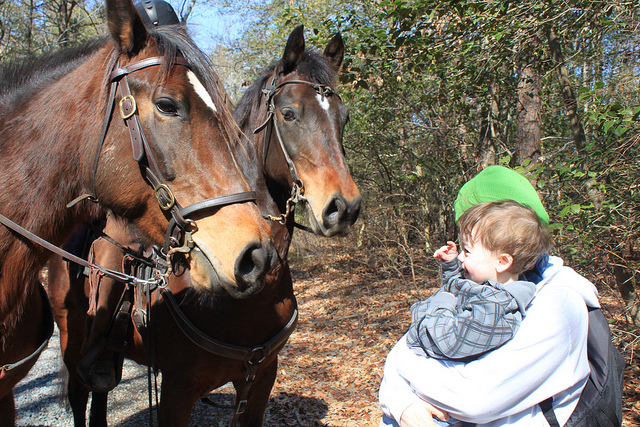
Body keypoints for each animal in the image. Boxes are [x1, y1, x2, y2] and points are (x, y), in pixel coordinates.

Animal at [47, 25, 361, 426]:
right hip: (70, 337)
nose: (345, 207)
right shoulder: (177, 390)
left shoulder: (260, 379)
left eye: (344, 117)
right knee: (78, 393)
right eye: (289, 113)